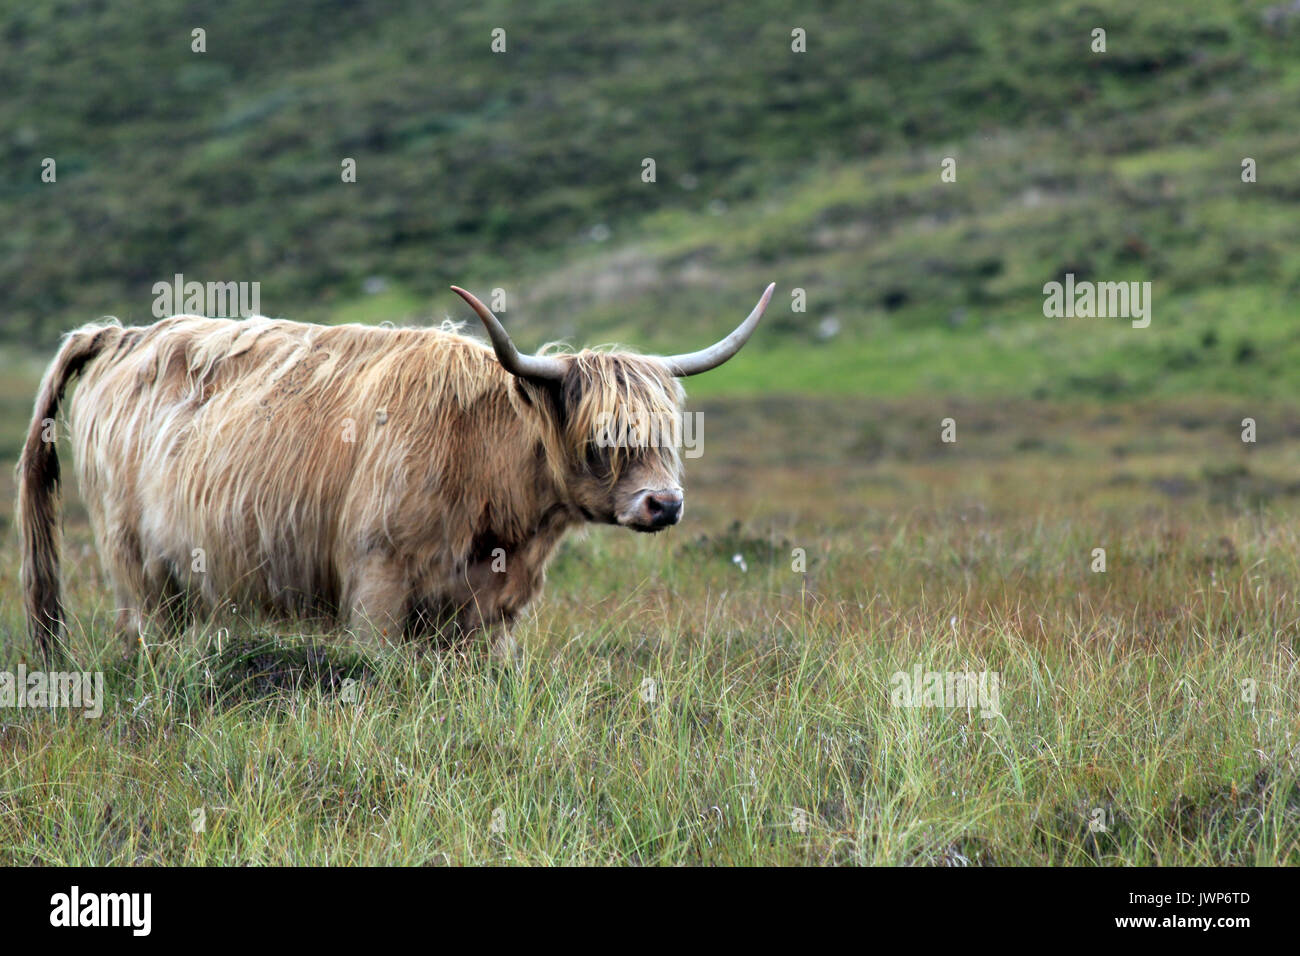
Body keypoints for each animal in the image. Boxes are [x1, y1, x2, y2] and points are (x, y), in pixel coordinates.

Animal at [18, 283, 775, 663]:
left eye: (668, 434)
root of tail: (124, 335)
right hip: (137, 566)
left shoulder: (491, 613)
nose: (663, 504)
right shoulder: (376, 584)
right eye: (600, 439)